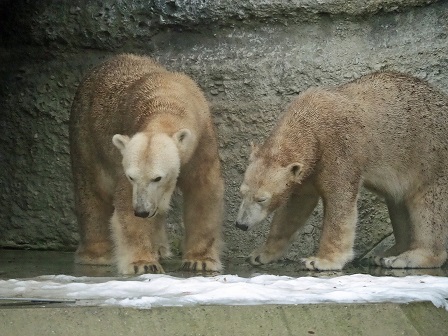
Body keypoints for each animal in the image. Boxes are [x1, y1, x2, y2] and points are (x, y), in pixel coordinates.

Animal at [70, 53, 224, 274]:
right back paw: (98, 254)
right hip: (85, 134)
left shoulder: (202, 141)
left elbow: (203, 192)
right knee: (92, 189)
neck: (167, 100)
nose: (141, 211)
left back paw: (159, 248)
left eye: (157, 177)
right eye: (132, 177)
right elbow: (125, 201)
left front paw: (201, 260)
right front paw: (143, 263)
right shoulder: (126, 154)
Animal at [236, 71, 448, 270]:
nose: (241, 224)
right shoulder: (307, 170)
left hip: (431, 159)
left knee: (428, 208)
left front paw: (320, 261)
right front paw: (260, 254)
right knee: (397, 203)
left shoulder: (338, 148)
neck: (310, 121)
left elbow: (339, 201)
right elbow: (295, 207)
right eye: (242, 192)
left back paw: (405, 258)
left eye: (262, 199)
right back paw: (387, 253)